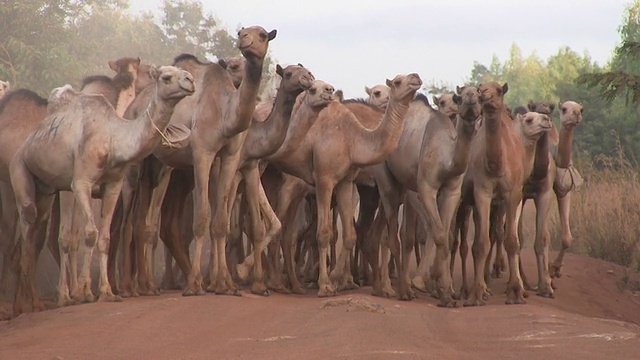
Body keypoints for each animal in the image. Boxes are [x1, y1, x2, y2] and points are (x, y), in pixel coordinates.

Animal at [8, 65, 194, 312]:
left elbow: (104, 237)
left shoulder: (114, 185)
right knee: (30, 222)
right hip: (19, 167)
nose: (190, 80)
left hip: (47, 190)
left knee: (40, 225)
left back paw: (36, 301)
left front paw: (106, 292)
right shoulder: (82, 182)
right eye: (166, 77)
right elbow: (90, 233)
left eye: (183, 72)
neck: (113, 138)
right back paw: (35, 303)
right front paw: (87, 292)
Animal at [458, 82, 552, 306]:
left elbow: (512, 240)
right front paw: (476, 294)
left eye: (498, 90)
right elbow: (481, 243)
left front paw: (517, 292)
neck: (497, 164)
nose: (483, 94)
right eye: (481, 88)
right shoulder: (482, 193)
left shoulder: (513, 195)